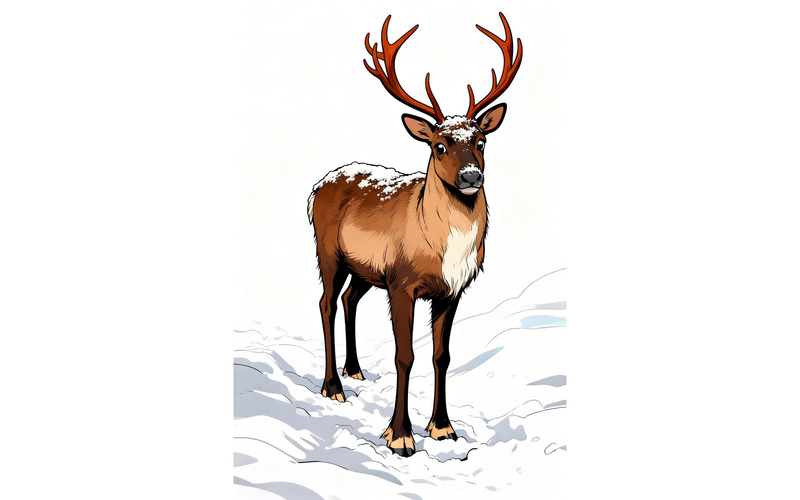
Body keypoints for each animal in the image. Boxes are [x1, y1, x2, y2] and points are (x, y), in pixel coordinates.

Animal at [307, 13, 522, 457]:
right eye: (439, 145)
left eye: (481, 140)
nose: (471, 176)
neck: (442, 249)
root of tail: (316, 188)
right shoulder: (402, 282)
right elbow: (404, 355)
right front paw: (400, 436)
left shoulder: (451, 290)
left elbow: (442, 356)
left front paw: (442, 427)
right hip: (327, 250)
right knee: (326, 302)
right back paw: (332, 385)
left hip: (366, 270)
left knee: (350, 299)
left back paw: (355, 370)